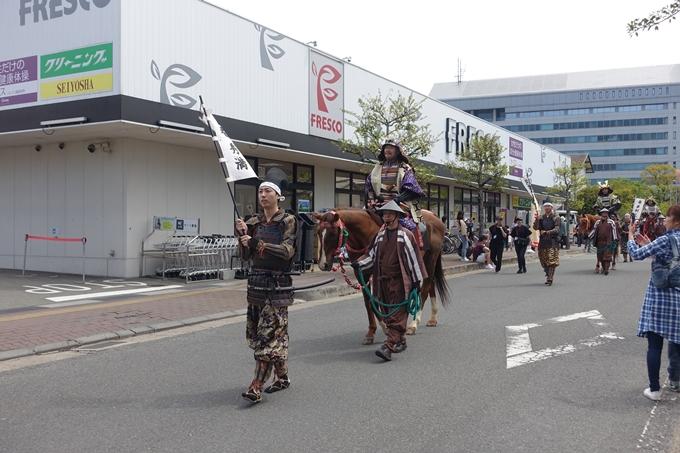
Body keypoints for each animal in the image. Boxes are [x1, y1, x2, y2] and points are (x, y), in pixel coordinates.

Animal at [314, 207, 452, 342]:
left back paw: (414, 324)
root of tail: (434, 216)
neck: (366, 236)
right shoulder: (360, 272)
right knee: (430, 285)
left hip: (431, 259)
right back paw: (433, 318)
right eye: (318, 232)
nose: (323, 264)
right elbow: (368, 302)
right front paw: (371, 332)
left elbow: (375, 302)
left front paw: (386, 327)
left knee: (424, 290)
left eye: (333, 233)